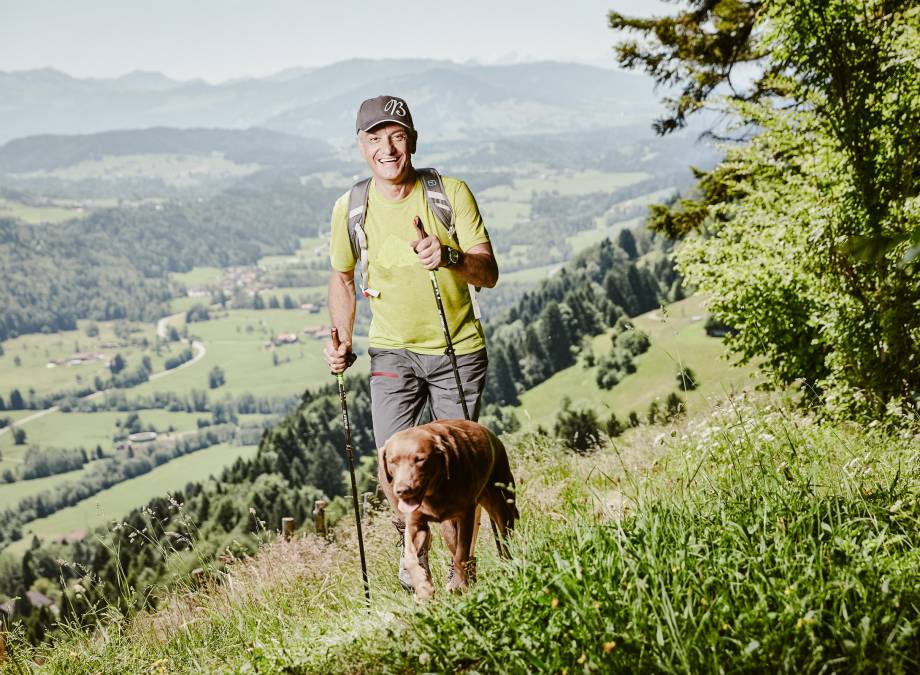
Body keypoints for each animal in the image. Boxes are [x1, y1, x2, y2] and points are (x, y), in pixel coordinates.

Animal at [376, 420, 516, 600]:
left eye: (420, 459)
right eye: (393, 461)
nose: (402, 490)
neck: (434, 490)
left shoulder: (466, 515)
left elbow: (461, 554)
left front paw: (458, 585)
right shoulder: (415, 523)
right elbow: (410, 557)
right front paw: (423, 588)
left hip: (500, 504)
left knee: (505, 538)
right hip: (449, 527)